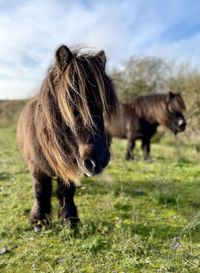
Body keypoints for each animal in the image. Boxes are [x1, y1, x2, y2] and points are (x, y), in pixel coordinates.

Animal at [17, 45, 117, 230]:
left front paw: (70, 218)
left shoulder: (70, 165)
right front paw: (39, 220)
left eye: (103, 104)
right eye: (70, 101)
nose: (98, 161)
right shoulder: (36, 167)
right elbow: (41, 191)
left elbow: (66, 191)